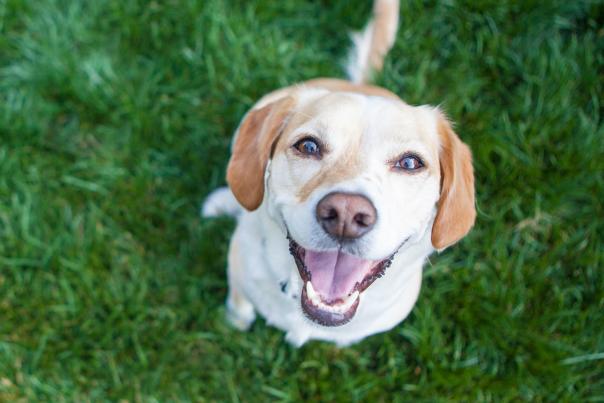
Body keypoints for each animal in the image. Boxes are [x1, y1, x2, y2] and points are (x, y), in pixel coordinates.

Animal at [203, 0, 476, 348]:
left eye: (410, 163)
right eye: (308, 146)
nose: (346, 214)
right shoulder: (240, 275)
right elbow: (239, 306)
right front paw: (234, 322)